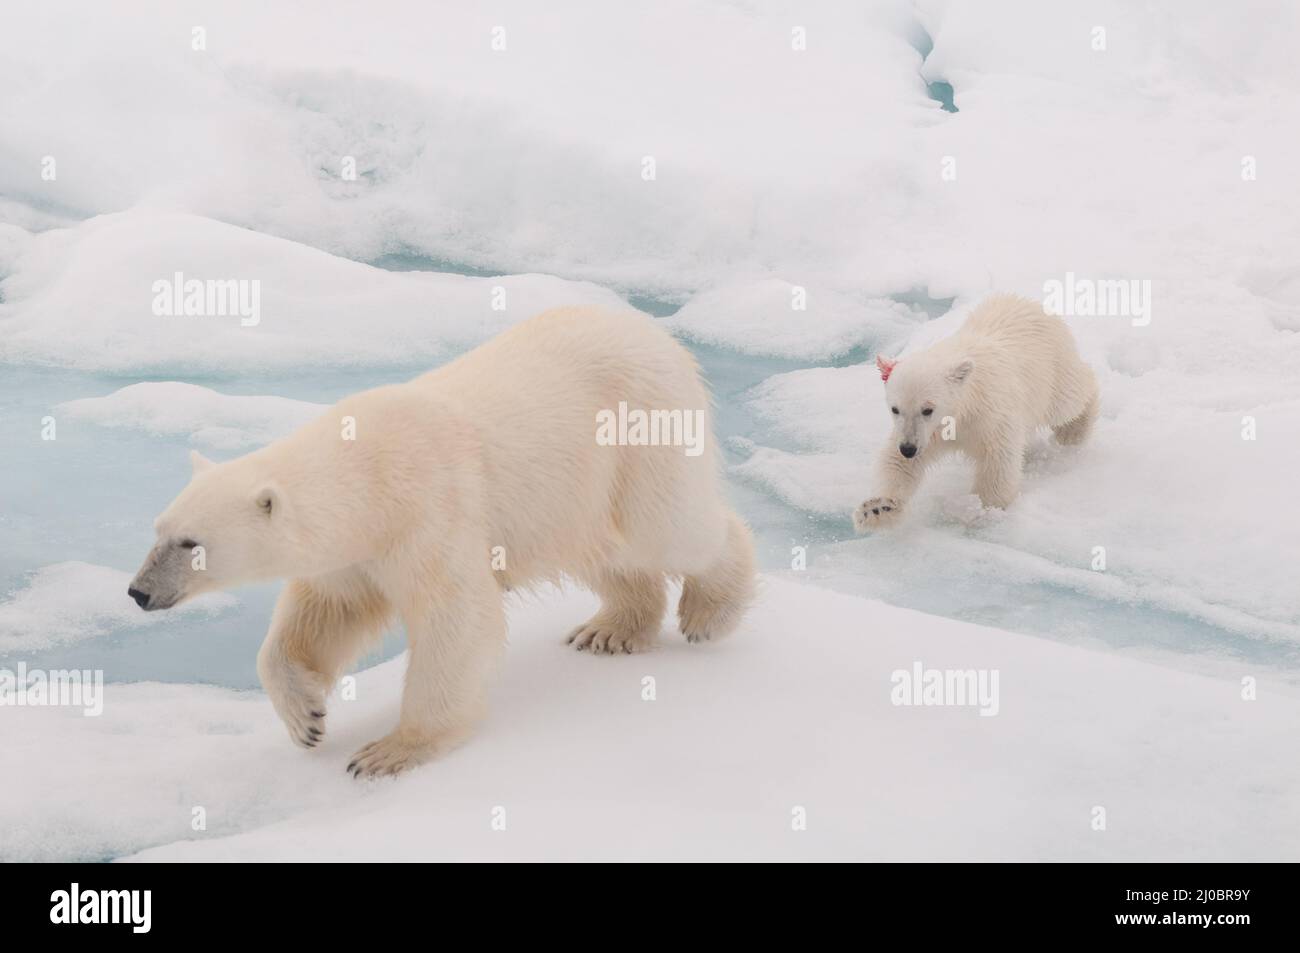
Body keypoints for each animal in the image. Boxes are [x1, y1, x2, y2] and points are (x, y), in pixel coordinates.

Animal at [127, 306, 756, 777]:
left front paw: (389, 752)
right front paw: (306, 719)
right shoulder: (357, 552)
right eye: (158, 530)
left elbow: (456, 618)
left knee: (669, 526)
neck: (368, 476)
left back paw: (710, 611)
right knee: (605, 547)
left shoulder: (428, 512)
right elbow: (325, 614)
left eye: (191, 543)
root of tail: (656, 334)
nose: (138, 592)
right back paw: (610, 630)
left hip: (637, 433)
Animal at [853, 293, 1098, 531]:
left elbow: (998, 460)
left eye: (927, 409)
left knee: (1069, 398)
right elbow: (897, 463)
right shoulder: (928, 432)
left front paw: (982, 511)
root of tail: (1030, 303)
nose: (908, 448)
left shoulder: (991, 414)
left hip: (1051, 368)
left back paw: (1073, 431)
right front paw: (877, 509)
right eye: (895, 409)